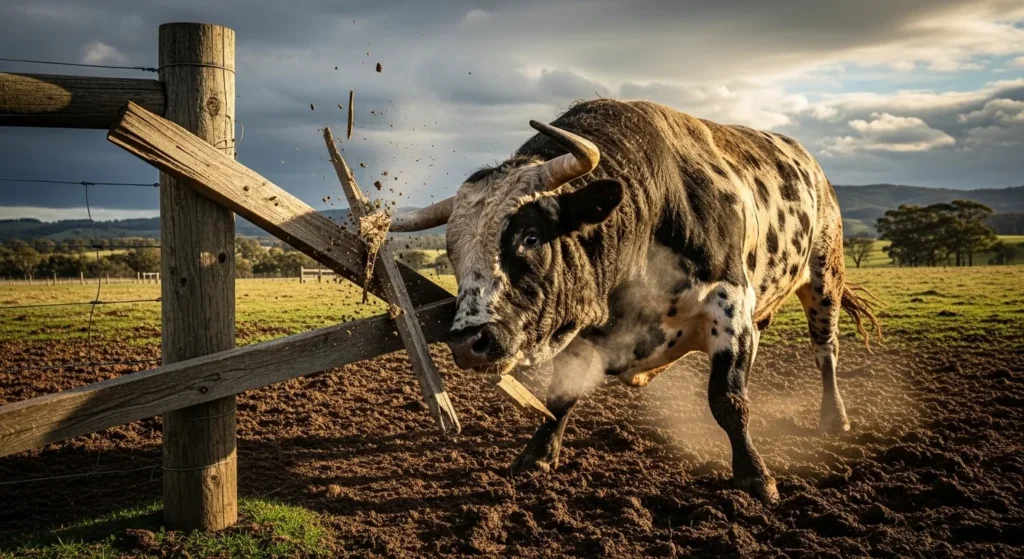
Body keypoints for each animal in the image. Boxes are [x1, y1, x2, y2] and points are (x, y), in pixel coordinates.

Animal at [388, 99, 880, 503]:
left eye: (529, 236)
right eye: (452, 251)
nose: (467, 342)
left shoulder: (731, 306)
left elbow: (728, 399)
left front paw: (754, 476)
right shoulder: (586, 332)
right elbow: (560, 396)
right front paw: (538, 455)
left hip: (824, 277)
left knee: (826, 351)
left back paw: (834, 417)